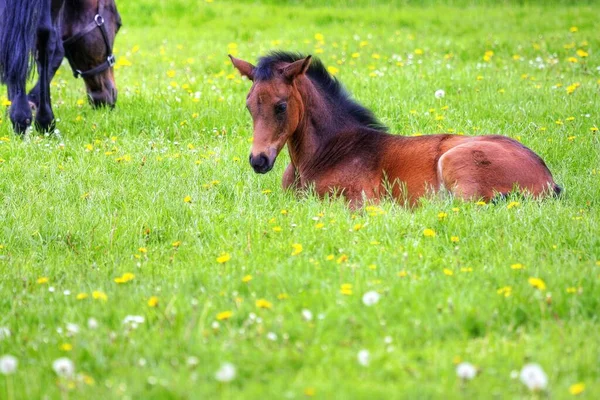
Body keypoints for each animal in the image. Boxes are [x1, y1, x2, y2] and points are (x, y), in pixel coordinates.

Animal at [231, 52, 564, 208]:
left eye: (281, 106)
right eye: (248, 105)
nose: (258, 160)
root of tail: (548, 179)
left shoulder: (357, 202)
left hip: (455, 164)